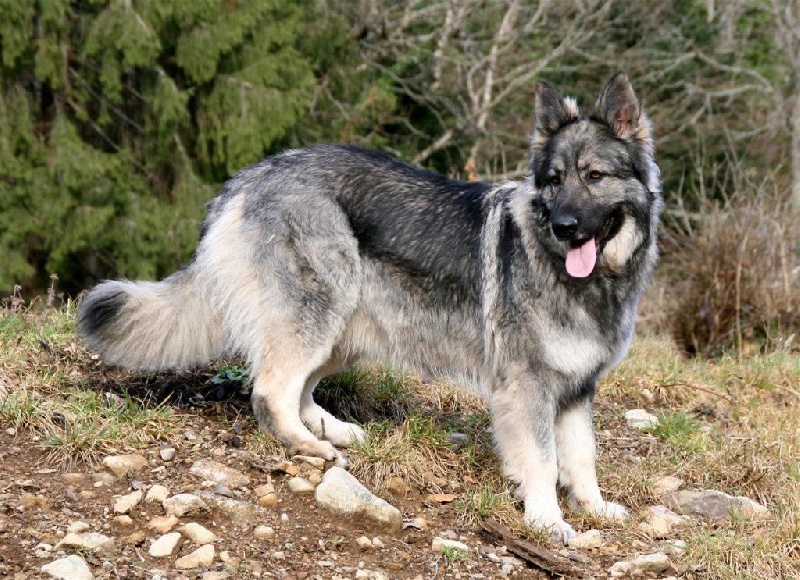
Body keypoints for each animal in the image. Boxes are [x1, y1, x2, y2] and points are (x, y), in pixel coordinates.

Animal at [78, 72, 662, 543]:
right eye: (554, 179)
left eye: (594, 176)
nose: (564, 226)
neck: (581, 278)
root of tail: (250, 176)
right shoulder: (528, 388)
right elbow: (542, 460)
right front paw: (547, 520)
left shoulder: (576, 391)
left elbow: (582, 457)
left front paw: (593, 508)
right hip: (320, 311)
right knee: (269, 390)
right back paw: (307, 446)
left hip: (347, 325)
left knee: (298, 385)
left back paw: (330, 428)